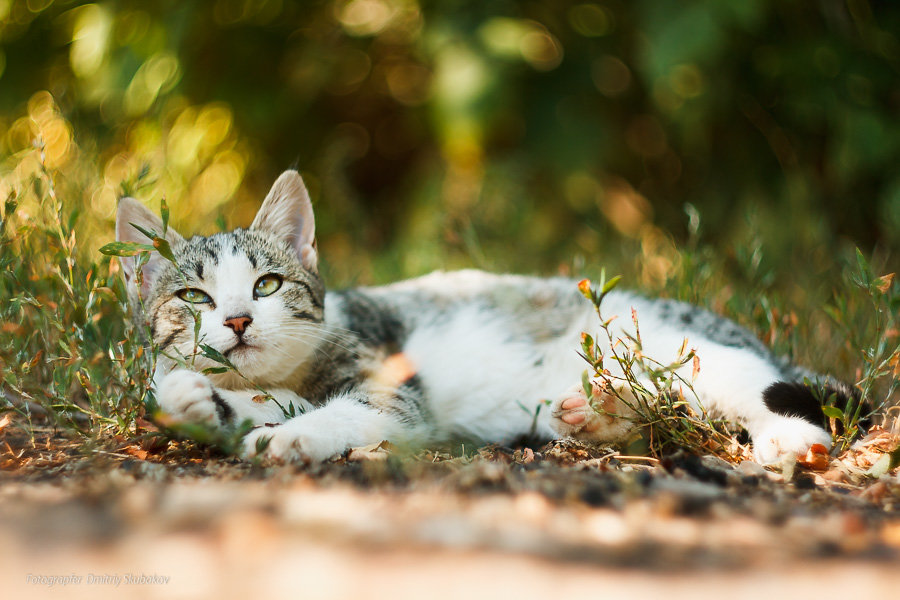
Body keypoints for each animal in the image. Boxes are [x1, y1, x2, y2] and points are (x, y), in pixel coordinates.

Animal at [116, 169, 856, 464]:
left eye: (266, 285)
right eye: (194, 298)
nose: (240, 320)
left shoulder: (394, 387)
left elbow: (354, 410)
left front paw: (291, 438)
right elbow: (208, 396)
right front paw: (198, 402)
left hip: (678, 346)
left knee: (767, 386)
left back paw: (789, 438)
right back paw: (605, 413)